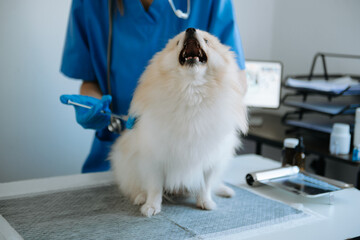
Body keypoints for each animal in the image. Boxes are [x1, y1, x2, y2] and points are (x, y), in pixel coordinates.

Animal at [111, 28, 249, 218]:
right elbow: (154, 187)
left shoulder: (211, 159)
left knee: (214, 183)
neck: (191, 92)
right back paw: (140, 197)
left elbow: (205, 184)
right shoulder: (153, 159)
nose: (190, 29)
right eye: (177, 42)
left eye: (207, 40)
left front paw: (205, 202)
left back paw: (224, 190)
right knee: (135, 186)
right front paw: (152, 206)